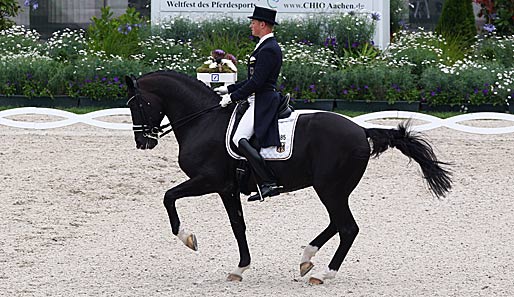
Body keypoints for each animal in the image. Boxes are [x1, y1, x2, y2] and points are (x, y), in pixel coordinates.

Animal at [123, 70, 448, 284]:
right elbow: (238, 226)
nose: (143, 142)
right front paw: (240, 268)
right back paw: (307, 258)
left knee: (348, 227)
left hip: (330, 189)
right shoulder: (227, 188)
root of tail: (361, 129)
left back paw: (324, 274)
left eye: (136, 104)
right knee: (337, 223)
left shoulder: (210, 181)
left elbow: (169, 197)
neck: (203, 121)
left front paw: (188, 238)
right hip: (333, 189)